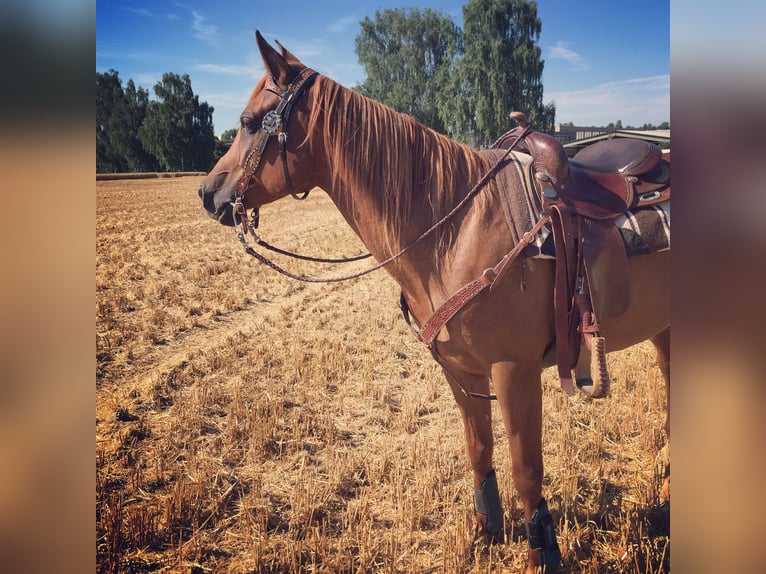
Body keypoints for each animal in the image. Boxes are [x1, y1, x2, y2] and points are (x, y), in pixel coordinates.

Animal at [200, 32, 672, 574]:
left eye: (249, 122)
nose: (207, 192)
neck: (458, 228)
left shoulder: (514, 370)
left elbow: (526, 469)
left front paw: (542, 556)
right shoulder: (461, 371)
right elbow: (479, 450)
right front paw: (485, 533)